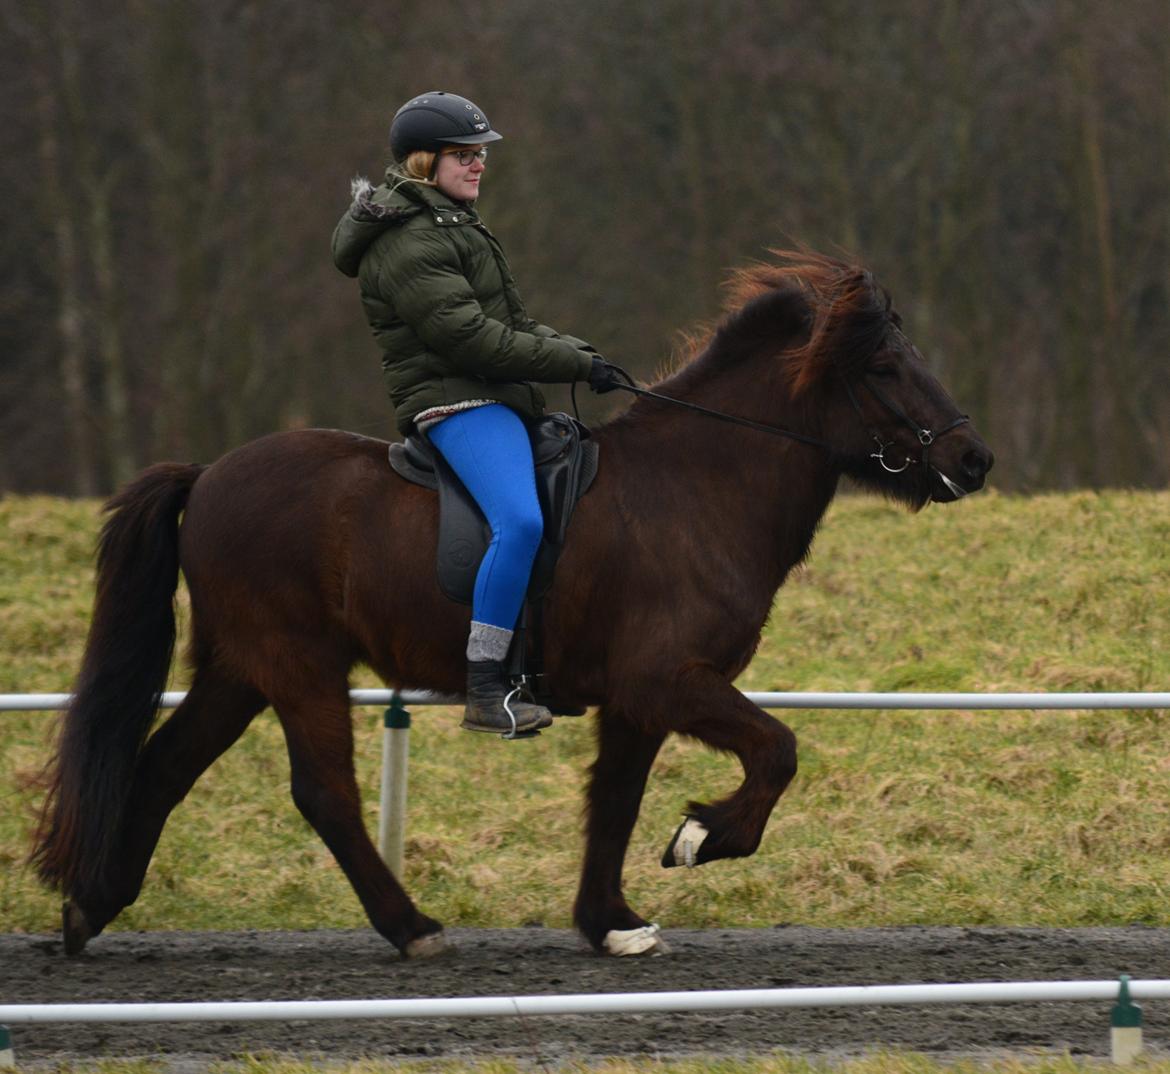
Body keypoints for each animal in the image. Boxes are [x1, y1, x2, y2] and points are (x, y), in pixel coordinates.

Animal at [32, 256, 992, 964]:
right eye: (885, 369)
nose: (974, 460)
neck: (698, 487)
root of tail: (207, 474)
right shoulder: (670, 679)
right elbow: (776, 750)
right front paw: (701, 836)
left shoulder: (637, 698)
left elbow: (614, 801)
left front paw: (612, 922)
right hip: (297, 663)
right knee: (323, 792)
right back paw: (413, 928)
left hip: (240, 667)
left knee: (166, 765)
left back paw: (91, 907)